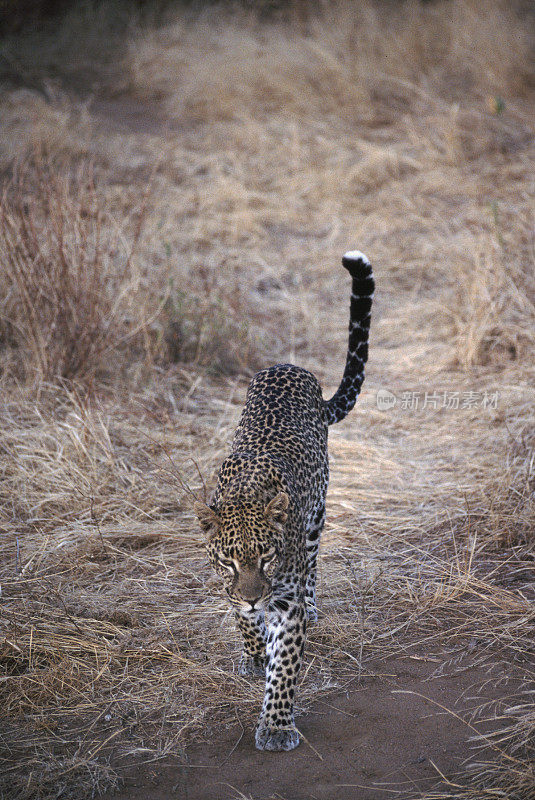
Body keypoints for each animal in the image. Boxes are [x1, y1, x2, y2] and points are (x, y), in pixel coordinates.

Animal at [195, 250, 374, 752]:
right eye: (229, 562)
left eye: (268, 557)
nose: (255, 599)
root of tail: (291, 367)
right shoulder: (230, 588)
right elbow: (243, 622)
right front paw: (254, 652)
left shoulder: (286, 598)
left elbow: (287, 667)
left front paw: (276, 724)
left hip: (318, 516)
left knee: (314, 562)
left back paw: (312, 605)